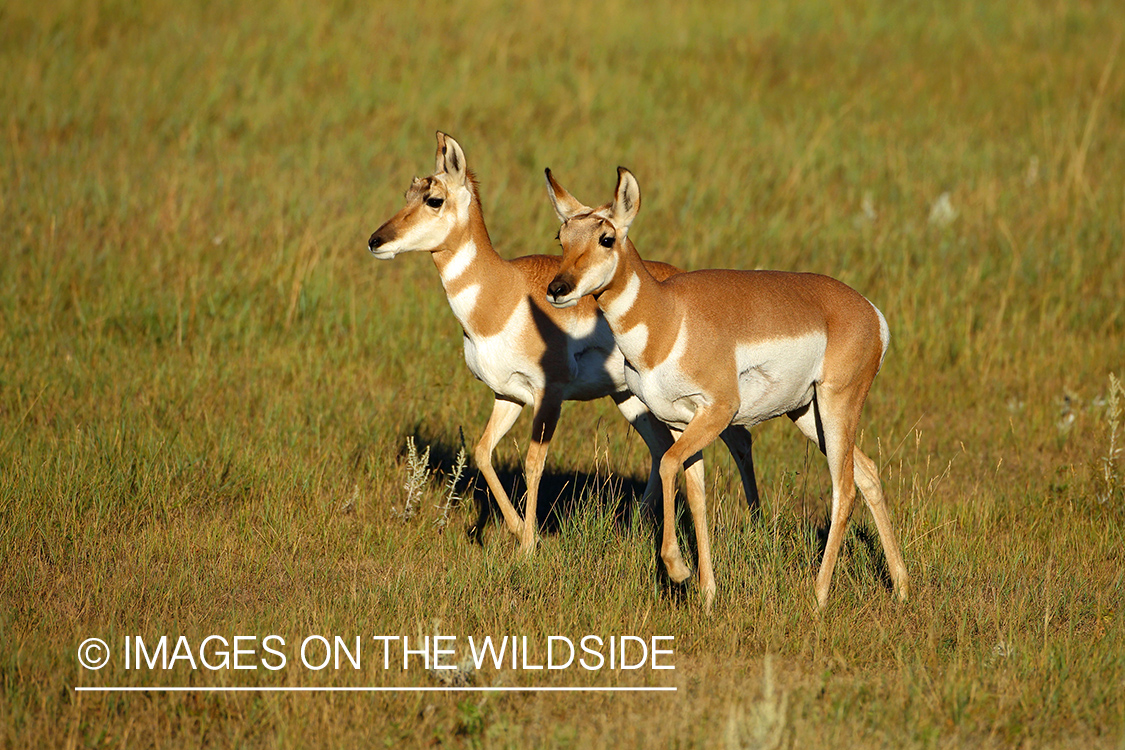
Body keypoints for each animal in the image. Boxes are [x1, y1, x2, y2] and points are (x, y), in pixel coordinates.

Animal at [364, 133, 760, 557]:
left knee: (738, 438)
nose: (376, 240)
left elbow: (533, 462)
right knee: (661, 449)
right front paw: (517, 530)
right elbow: (483, 452)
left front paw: (528, 545)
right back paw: (633, 527)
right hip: (630, 398)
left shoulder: (548, 394)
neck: (502, 293)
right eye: (407, 193)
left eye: (434, 199)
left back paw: (754, 525)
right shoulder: (508, 395)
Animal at [540, 165, 909, 611]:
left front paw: (677, 569)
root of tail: (870, 313)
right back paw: (902, 588)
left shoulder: (718, 412)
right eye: (561, 237)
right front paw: (707, 593)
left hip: (836, 405)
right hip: (808, 413)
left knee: (844, 488)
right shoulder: (682, 423)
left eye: (606, 238)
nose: (557, 289)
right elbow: (696, 497)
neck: (667, 318)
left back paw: (818, 596)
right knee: (867, 473)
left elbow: (667, 464)